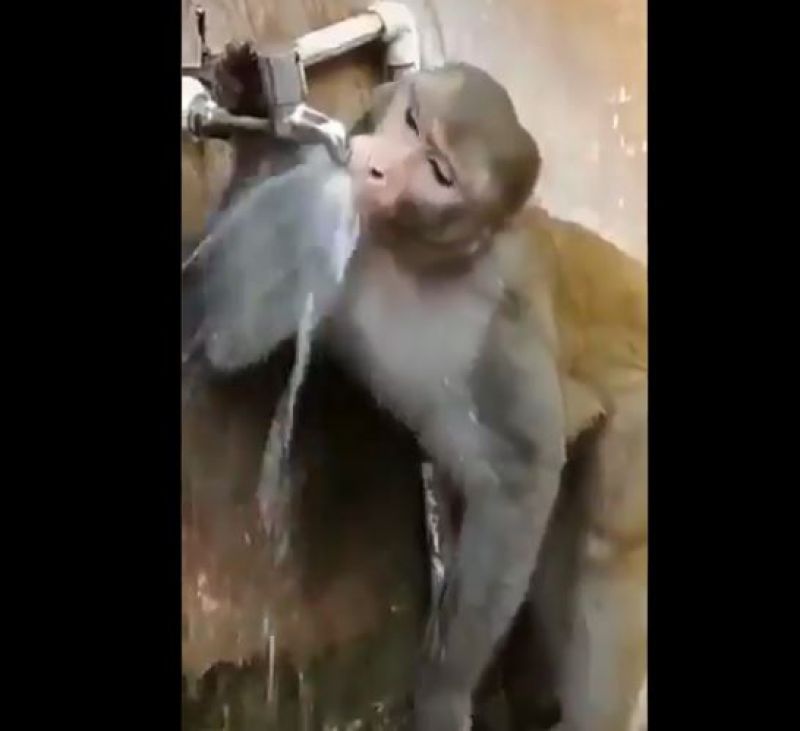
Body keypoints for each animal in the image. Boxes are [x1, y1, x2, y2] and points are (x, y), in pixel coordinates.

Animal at [183, 47, 647, 731]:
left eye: (437, 171)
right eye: (410, 121)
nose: (373, 165)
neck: (407, 254)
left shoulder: (504, 318)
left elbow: (518, 477)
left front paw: (444, 691)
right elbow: (229, 332)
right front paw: (250, 104)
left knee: (604, 545)